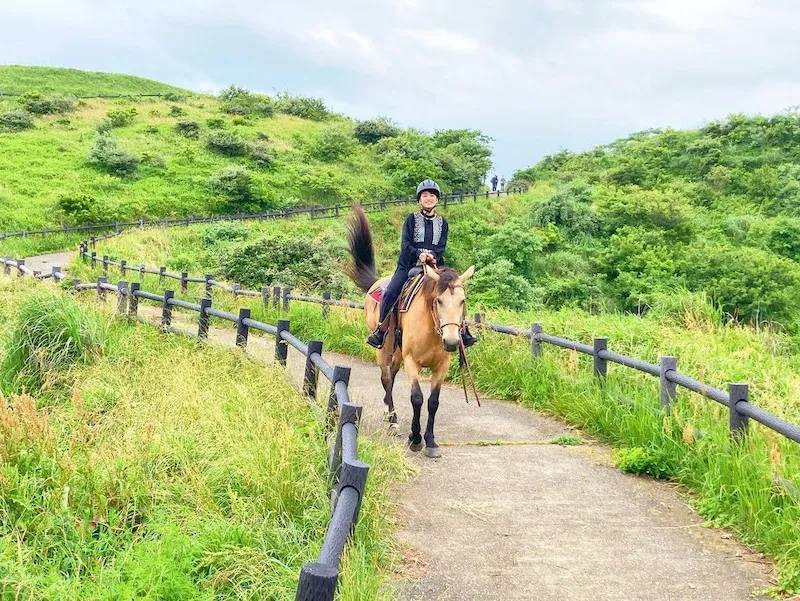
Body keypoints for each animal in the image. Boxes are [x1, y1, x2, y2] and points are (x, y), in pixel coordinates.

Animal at [346, 204, 476, 458]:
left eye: (463, 301)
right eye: (438, 301)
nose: (452, 342)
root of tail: (377, 283)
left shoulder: (441, 365)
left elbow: (433, 402)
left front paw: (431, 441)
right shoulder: (411, 361)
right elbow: (417, 398)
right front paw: (415, 439)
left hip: (397, 353)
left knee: (391, 377)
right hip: (384, 348)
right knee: (386, 378)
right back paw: (392, 421)